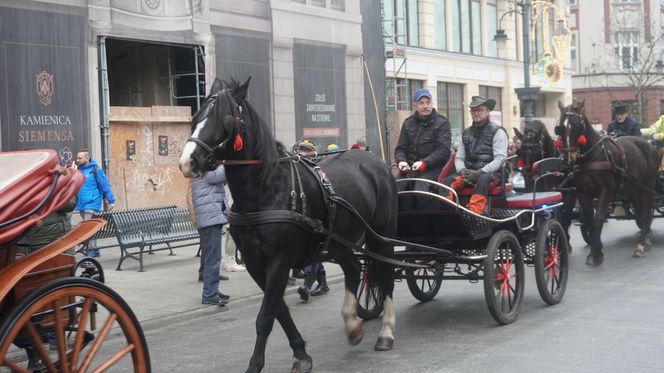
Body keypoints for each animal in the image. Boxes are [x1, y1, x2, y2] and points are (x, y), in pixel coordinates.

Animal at [178, 77, 400, 370]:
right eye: (195, 118)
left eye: (224, 120)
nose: (187, 162)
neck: (266, 191)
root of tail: (375, 160)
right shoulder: (255, 263)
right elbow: (278, 310)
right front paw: (301, 353)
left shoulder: (280, 261)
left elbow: (265, 316)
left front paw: (256, 364)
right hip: (338, 242)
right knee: (354, 270)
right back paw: (352, 325)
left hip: (381, 237)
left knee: (386, 276)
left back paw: (386, 332)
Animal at [556, 99, 660, 264]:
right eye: (560, 126)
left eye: (577, 124)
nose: (568, 159)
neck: (592, 156)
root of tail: (650, 146)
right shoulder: (583, 193)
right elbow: (590, 221)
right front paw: (594, 250)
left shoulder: (607, 191)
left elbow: (598, 219)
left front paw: (597, 254)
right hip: (634, 189)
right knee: (641, 213)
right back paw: (646, 240)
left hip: (647, 186)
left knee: (645, 213)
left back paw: (641, 246)